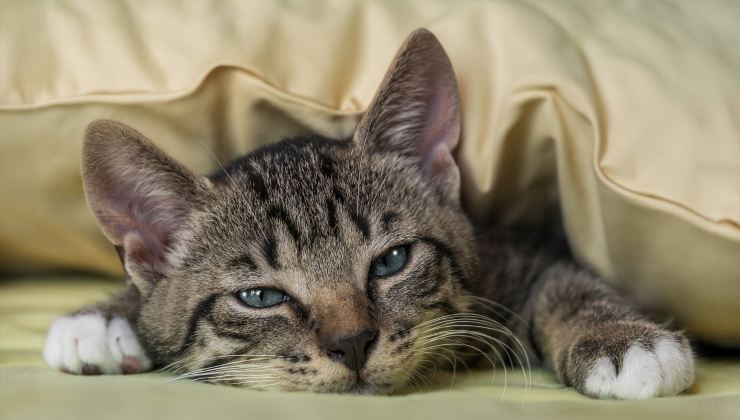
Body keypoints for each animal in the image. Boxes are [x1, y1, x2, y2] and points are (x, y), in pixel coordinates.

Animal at [44, 28, 692, 398]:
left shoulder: (525, 249)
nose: (352, 344)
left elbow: (567, 281)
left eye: (392, 260)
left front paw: (623, 340)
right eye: (260, 296)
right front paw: (104, 317)